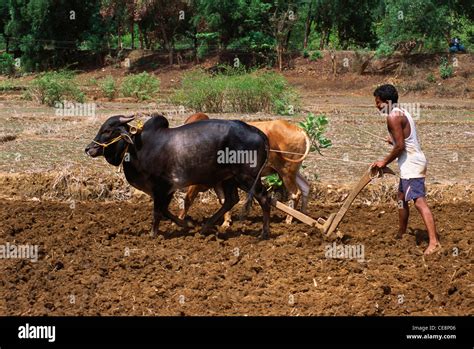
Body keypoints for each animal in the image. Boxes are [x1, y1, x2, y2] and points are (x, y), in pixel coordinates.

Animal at [84, 113, 272, 238]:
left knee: (264, 198)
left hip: (247, 177)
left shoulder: (161, 187)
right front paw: (187, 224)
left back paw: (264, 233)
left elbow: (158, 212)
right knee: (231, 200)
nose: (88, 149)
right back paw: (206, 227)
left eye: (107, 130)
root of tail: (258, 133)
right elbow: (165, 211)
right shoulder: (167, 189)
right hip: (229, 179)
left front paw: (153, 235)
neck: (137, 147)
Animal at [178, 111, 312, 226]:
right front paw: (226, 222)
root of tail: (299, 130)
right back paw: (303, 215)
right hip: (292, 171)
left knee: (296, 193)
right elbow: (223, 200)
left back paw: (289, 219)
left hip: (286, 171)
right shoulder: (219, 182)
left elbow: (188, 200)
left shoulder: (198, 182)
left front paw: (179, 220)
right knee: (305, 187)